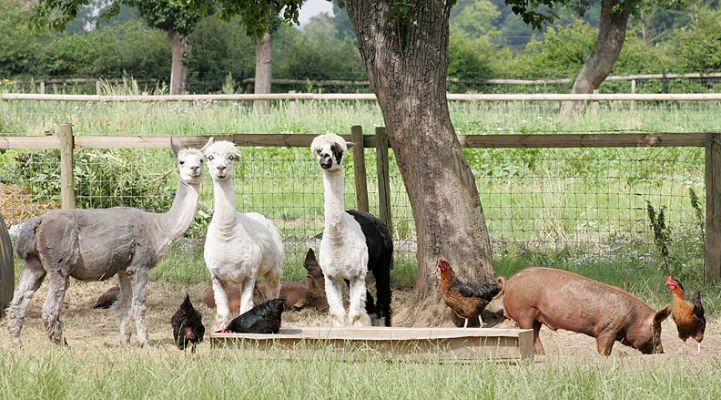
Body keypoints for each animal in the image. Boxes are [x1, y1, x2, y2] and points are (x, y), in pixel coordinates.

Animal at [499, 267, 671, 356]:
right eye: (657, 330)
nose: (662, 351)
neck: (632, 319)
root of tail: (509, 282)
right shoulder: (608, 329)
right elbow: (605, 349)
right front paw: (603, 357)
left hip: (537, 315)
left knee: (534, 333)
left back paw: (543, 354)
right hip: (524, 310)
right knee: (528, 331)